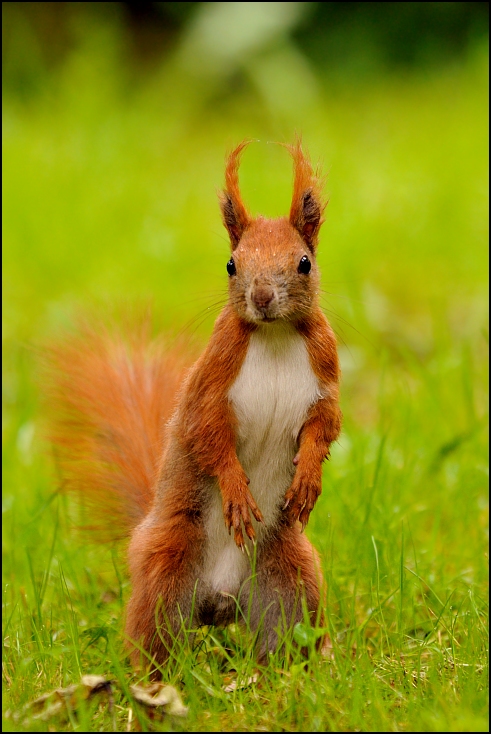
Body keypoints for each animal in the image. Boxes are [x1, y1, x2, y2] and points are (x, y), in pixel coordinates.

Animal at [49, 141, 342, 676]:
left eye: (304, 262)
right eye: (231, 264)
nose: (261, 297)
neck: (273, 335)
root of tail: (219, 603)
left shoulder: (326, 378)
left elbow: (323, 427)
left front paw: (308, 478)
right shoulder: (211, 383)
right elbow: (208, 434)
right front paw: (236, 492)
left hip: (291, 580)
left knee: (287, 638)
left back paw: (296, 676)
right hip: (167, 566)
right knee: (155, 635)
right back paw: (152, 680)